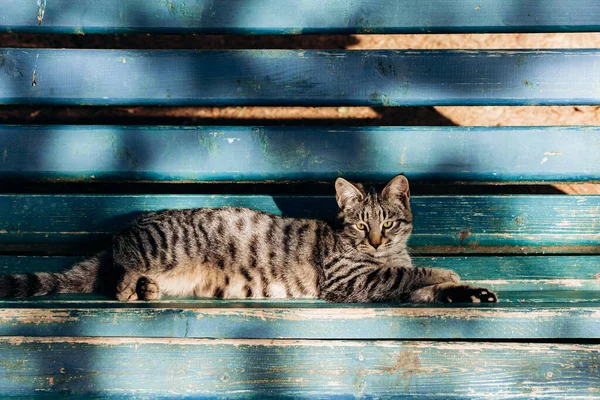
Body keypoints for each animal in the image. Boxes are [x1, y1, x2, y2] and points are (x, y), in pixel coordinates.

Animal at [0, 175, 496, 304]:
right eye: (360, 226)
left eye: (388, 224)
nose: (374, 241)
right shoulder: (351, 281)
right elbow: (409, 274)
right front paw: (446, 271)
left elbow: (422, 285)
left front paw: (468, 291)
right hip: (153, 244)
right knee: (121, 258)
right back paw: (127, 285)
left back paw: (147, 289)